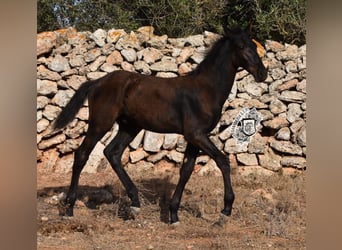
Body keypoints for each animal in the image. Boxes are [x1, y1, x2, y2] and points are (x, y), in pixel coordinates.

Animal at [52, 26, 268, 225]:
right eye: (241, 47)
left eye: (254, 45)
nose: (263, 74)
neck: (205, 90)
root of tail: (96, 82)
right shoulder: (196, 134)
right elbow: (223, 161)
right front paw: (226, 210)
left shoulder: (195, 137)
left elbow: (186, 170)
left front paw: (173, 214)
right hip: (100, 123)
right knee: (82, 154)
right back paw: (69, 208)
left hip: (130, 127)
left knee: (112, 153)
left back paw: (135, 203)